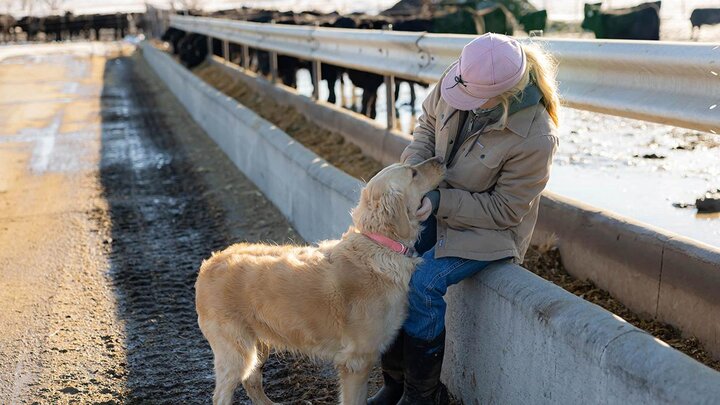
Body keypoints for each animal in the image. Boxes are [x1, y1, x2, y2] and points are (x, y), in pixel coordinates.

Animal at [195, 156, 444, 402]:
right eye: (413, 173)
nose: (441, 159)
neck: (380, 245)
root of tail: (210, 262)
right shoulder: (356, 362)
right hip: (237, 351)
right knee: (223, 393)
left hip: (258, 342)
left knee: (252, 381)